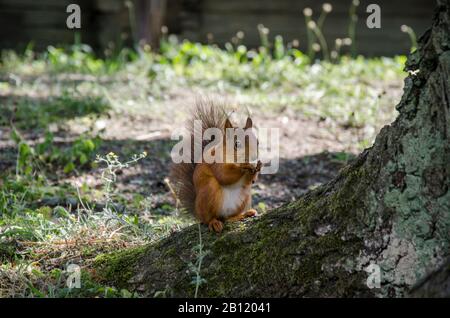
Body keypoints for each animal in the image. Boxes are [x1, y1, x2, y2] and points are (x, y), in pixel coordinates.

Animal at [170, 102, 262, 234]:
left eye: (258, 142)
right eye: (236, 144)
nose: (254, 157)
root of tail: (197, 212)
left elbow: (250, 181)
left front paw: (258, 166)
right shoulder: (215, 162)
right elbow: (223, 175)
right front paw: (245, 165)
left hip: (245, 196)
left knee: (228, 218)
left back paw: (244, 214)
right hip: (209, 191)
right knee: (209, 218)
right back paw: (214, 223)